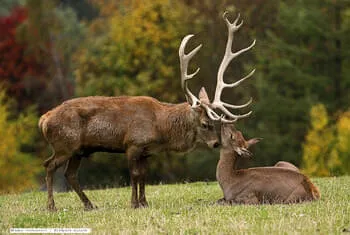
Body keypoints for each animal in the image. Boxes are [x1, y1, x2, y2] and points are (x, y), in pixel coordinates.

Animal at [39, 12, 258, 211]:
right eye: (205, 124)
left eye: (217, 123)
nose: (215, 144)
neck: (160, 128)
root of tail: (43, 120)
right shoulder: (132, 144)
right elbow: (134, 175)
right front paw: (134, 203)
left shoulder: (146, 151)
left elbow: (143, 175)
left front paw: (144, 202)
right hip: (64, 145)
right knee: (49, 165)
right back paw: (51, 206)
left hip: (78, 150)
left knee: (69, 174)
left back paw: (89, 204)